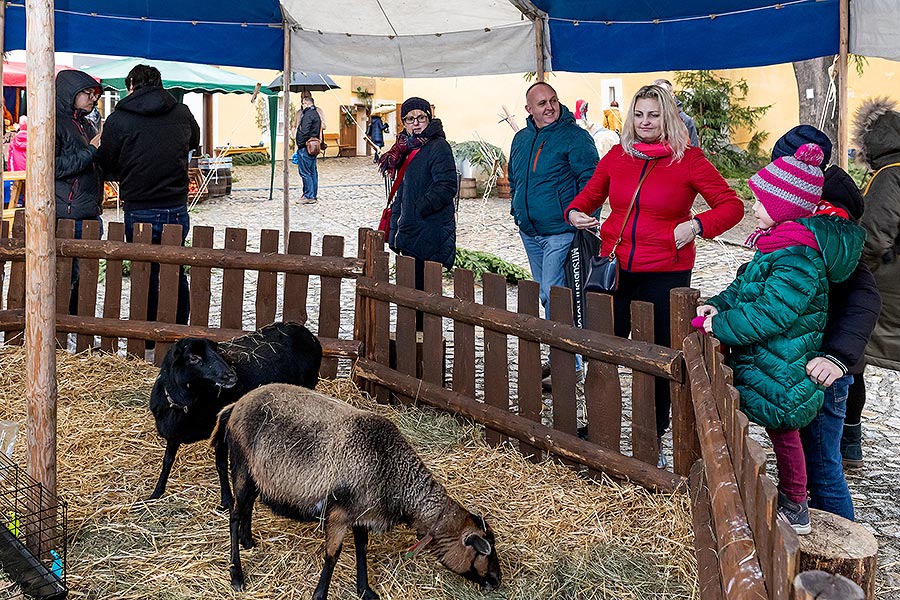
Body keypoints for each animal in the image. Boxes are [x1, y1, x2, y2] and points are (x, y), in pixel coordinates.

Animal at [151, 322, 324, 504]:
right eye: (193, 357)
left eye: (217, 351)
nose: (231, 376)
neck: (187, 404)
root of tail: (304, 331)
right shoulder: (173, 432)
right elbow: (167, 461)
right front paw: (157, 492)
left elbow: (221, 464)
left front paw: (227, 499)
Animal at [214, 382, 502, 596]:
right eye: (483, 551)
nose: (497, 579)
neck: (394, 473)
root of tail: (235, 405)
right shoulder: (340, 514)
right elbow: (332, 555)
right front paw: (320, 594)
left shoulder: (363, 513)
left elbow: (362, 548)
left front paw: (365, 590)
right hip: (241, 466)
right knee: (235, 515)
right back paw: (237, 574)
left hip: (255, 474)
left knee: (248, 505)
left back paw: (248, 540)